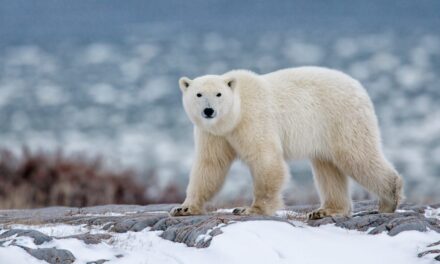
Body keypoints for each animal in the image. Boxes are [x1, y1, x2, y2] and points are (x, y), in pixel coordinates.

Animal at [170, 66, 404, 219]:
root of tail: (359, 87)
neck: (234, 115)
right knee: (327, 168)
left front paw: (250, 209)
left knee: (357, 156)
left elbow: (265, 159)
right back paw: (325, 210)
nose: (209, 111)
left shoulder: (253, 119)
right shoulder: (213, 134)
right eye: (198, 94)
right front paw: (184, 208)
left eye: (219, 94)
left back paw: (389, 199)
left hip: (341, 118)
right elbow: (210, 166)